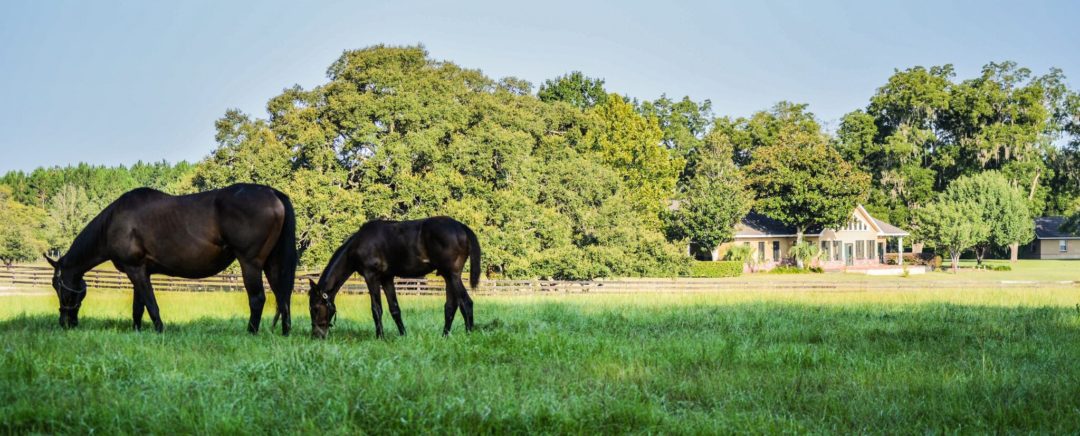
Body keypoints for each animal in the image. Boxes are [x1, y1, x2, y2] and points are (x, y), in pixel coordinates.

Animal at [44, 182, 298, 334]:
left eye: (58, 285)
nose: (65, 322)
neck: (114, 223)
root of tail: (272, 193)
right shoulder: (139, 272)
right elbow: (138, 307)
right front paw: (137, 331)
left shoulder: (135, 270)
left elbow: (151, 305)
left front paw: (160, 331)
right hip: (272, 264)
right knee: (282, 297)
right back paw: (285, 332)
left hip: (250, 263)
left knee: (258, 299)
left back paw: (251, 332)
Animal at [311, 215, 483, 338]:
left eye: (314, 308)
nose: (316, 336)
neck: (359, 244)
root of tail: (461, 227)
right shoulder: (387, 278)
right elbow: (394, 308)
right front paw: (403, 335)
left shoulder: (371, 276)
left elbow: (376, 309)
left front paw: (380, 337)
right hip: (448, 276)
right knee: (450, 306)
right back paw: (445, 335)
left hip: (453, 275)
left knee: (466, 303)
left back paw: (468, 334)